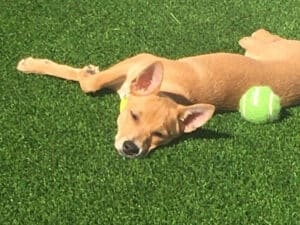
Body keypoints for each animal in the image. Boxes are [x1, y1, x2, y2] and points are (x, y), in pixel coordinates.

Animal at [17, 29, 300, 157]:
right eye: (134, 115)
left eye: (160, 135)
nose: (131, 148)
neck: (172, 91)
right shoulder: (141, 59)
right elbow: (92, 82)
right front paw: (33, 64)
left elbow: (88, 82)